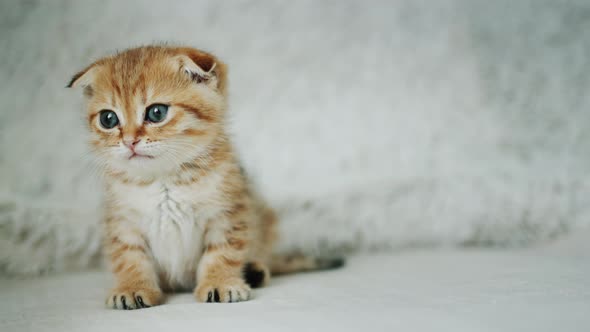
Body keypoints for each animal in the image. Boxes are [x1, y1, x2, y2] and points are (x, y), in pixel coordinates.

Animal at [69, 45, 344, 310]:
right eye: (108, 119)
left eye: (156, 113)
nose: (129, 141)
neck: (164, 180)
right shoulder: (121, 221)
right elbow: (129, 258)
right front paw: (132, 288)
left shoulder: (229, 211)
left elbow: (222, 252)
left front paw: (220, 283)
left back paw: (255, 271)